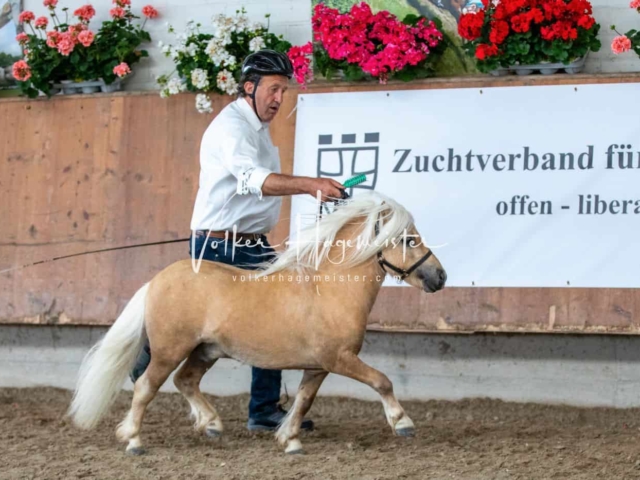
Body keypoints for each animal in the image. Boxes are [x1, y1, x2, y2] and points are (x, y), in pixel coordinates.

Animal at [65, 190, 444, 454]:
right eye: (408, 240)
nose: (440, 277)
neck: (328, 290)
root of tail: (156, 281)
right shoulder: (339, 359)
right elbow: (382, 381)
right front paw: (403, 423)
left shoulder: (318, 366)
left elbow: (303, 401)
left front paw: (289, 441)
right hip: (170, 349)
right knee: (146, 386)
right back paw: (134, 441)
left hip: (206, 350)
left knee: (185, 380)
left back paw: (211, 424)